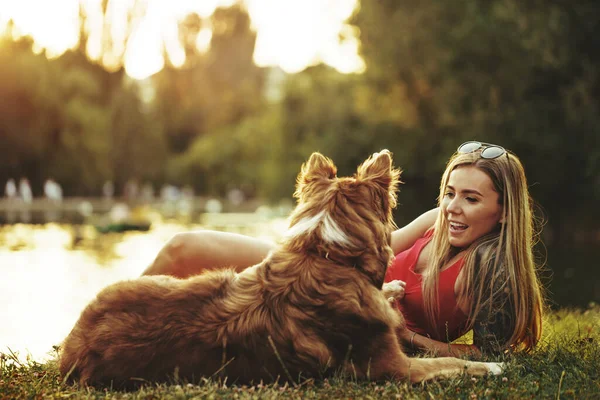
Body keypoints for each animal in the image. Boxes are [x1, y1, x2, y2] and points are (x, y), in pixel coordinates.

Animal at [59, 151, 502, 388]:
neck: (325, 255)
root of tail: (74, 344)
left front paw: (392, 289)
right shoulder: (392, 368)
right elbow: (453, 363)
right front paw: (492, 365)